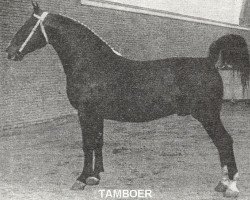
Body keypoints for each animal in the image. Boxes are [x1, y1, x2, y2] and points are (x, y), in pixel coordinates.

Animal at [6, 2, 250, 198]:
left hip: (208, 116)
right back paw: (222, 183)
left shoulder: (85, 113)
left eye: (28, 26)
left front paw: (81, 179)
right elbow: (98, 142)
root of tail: (208, 61)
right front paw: (95, 177)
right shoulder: (97, 114)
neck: (92, 64)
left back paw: (231, 187)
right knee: (221, 145)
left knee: (225, 142)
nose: (9, 51)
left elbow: (87, 144)